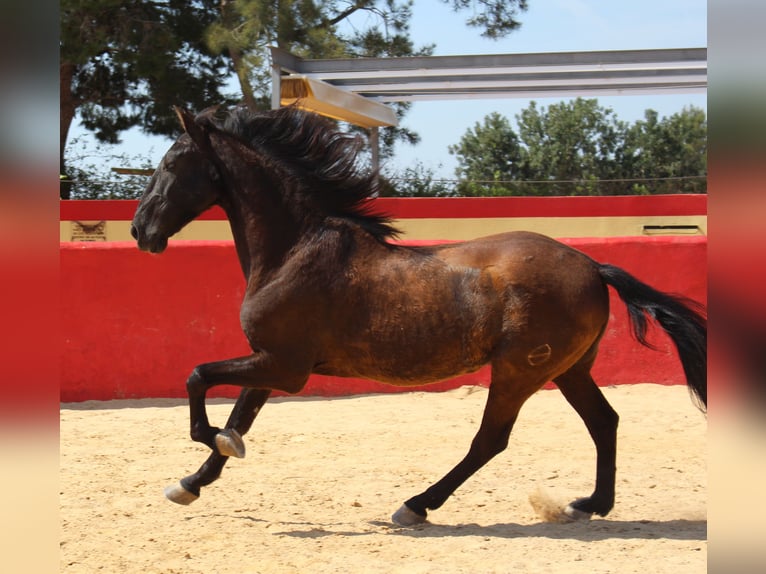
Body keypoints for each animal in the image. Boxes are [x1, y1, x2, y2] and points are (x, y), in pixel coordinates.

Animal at [130, 103, 708, 528]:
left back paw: (415, 506)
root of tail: (592, 264)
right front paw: (189, 484)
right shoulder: (270, 361)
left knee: (491, 440)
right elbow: (238, 416)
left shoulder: (285, 367)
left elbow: (199, 379)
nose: (140, 230)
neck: (294, 250)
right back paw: (590, 504)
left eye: (169, 164)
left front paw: (209, 443)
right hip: (568, 369)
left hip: (521, 370)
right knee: (603, 421)